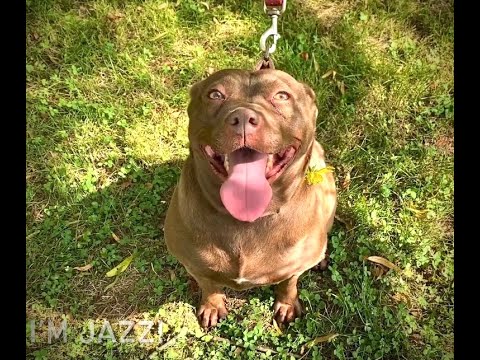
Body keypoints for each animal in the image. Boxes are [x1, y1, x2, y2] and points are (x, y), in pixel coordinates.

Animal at [165, 68, 338, 330]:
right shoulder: (194, 264)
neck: (248, 218)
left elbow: (289, 283)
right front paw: (212, 306)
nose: (243, 117)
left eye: (282, 95)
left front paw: (287, 304)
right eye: (215, 94)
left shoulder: (295, 267)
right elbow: (209, 285)